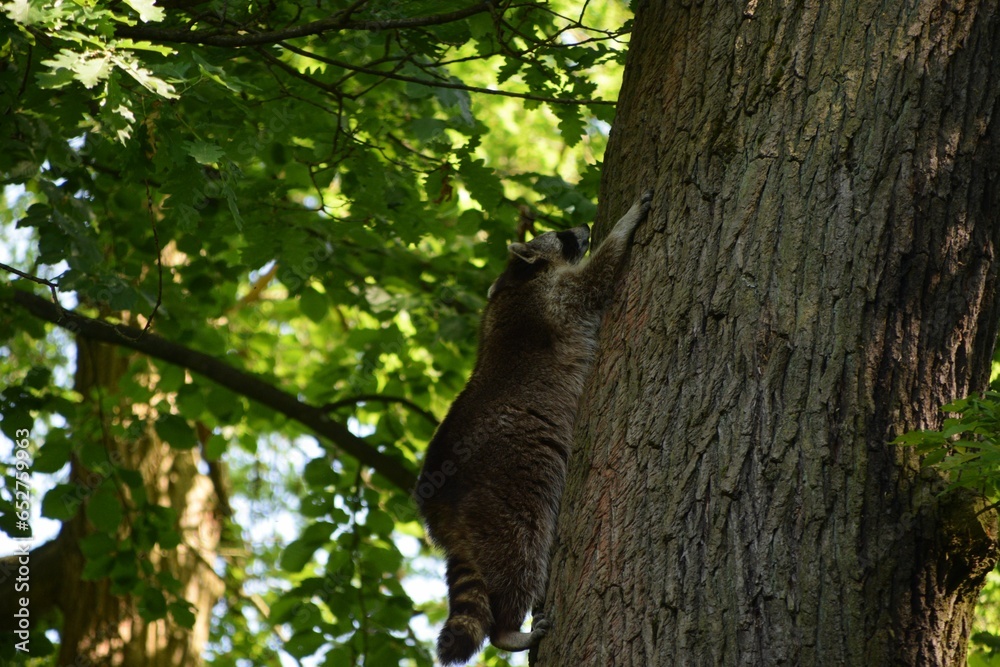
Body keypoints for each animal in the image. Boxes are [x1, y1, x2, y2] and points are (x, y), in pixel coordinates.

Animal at [415, 190, 653, 665]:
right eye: (561, 235)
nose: (584, 226)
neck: (518, 276)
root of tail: (442, 510)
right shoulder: (555, 298)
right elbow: (596, 276)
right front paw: (623, 226)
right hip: (506, 491)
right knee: (520, 553)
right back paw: (507, 629)